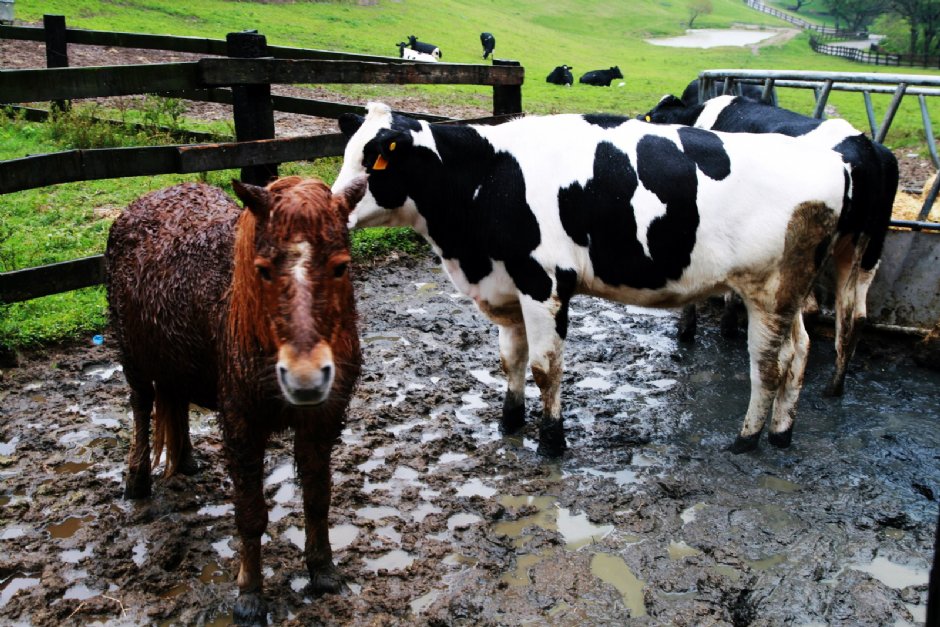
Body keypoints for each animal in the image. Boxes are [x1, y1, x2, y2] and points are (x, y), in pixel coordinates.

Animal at [105, 175, 366, 624]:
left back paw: (187, 462)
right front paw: (250, 595)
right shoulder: (242, 425)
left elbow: (318, 500)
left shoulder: (322, 421)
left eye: (341, 266)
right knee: (141, 406)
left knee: (174, 401)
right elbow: (250, 514)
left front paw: (323, 572)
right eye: (262, 270)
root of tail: (142, 202)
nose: (305, 379)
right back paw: (136, 480)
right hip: (132, 356)